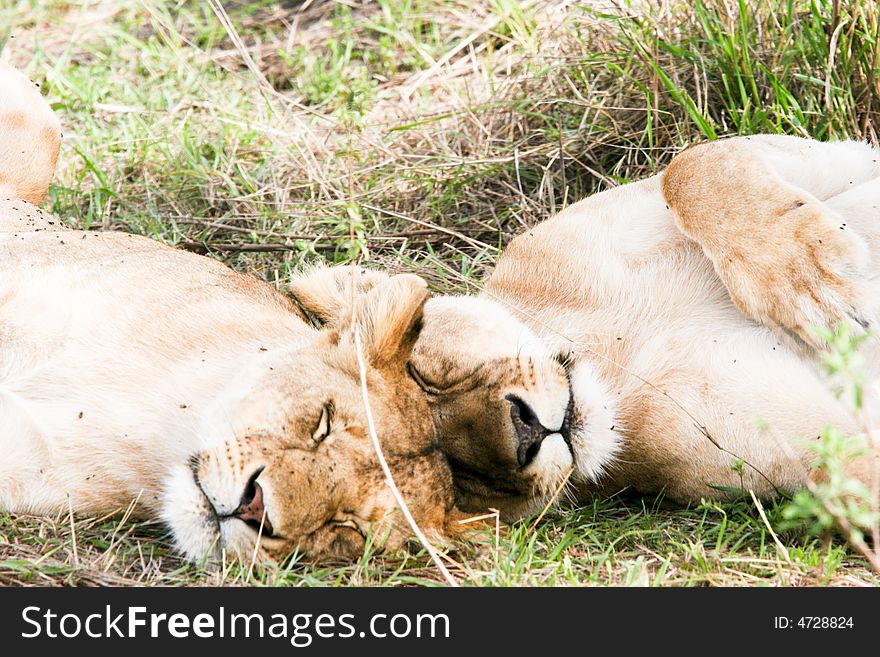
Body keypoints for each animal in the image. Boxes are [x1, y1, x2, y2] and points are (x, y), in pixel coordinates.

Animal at [294, 136, 880, 520]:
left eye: (420, 370)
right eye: (457, 482)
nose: (525, 433)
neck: (618, 351)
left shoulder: (840, 153)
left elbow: (691, 166)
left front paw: (815, 281)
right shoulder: (822, 453)